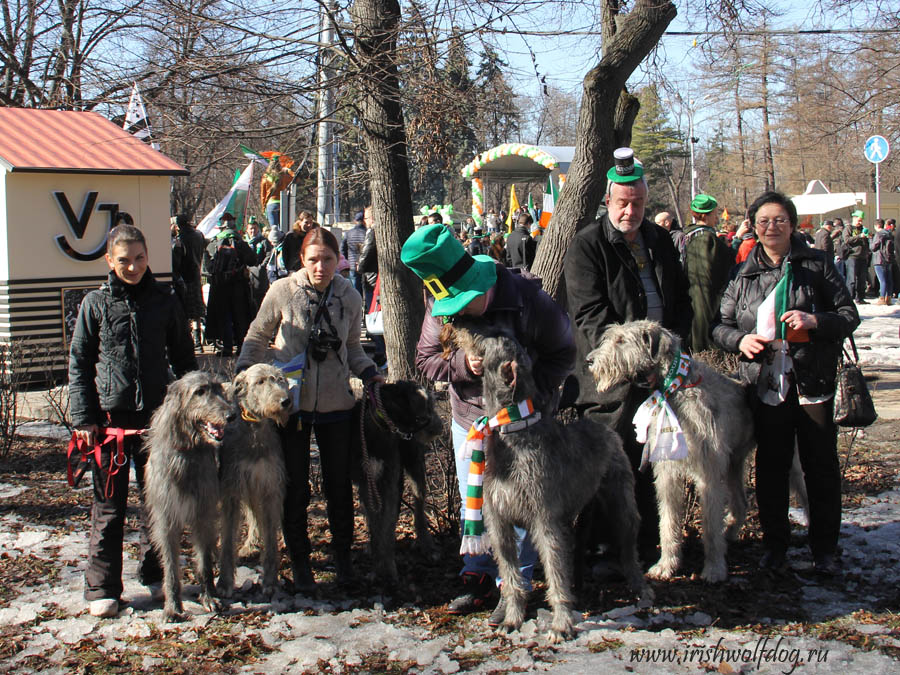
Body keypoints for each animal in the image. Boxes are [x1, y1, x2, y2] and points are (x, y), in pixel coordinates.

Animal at [143, 370, 232, 624]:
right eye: (199, 391)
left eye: (218, 389)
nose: (231, 415)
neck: (187, 453)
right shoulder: (166, 519)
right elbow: (171, 566)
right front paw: (173, 607)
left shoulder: (203, 513)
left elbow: (204, 561)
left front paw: (209, 596)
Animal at [217, 368, 290, 600]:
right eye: (260, 382)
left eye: (281, 380)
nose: (285, 401)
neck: (255, 428)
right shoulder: (232, 486)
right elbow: (228, 539)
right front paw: (224, 583)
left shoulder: (270, 485)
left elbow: (270, 535)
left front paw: (270, 581)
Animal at [356, 380, 446, 588]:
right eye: (427, 409)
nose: (440, 427)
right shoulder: (367, 482)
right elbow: (376, 526)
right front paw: (377, 567)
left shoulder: (389, 480)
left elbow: (387, 528)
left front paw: (388, 569)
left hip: (414, 461)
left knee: (419, 504)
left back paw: (427, 545)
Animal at [458, 330, 648, 648]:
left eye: (498, 335)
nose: (468, 329)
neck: (514, 431)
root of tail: (602, 426)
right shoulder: (499, 523)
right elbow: (511, 575)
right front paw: (512, 619)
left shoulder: (546, 521)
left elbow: (555, 574)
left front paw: (561, 625)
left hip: (620, 503)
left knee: (629, 547)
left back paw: (640, 587)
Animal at [588, 320, 756, 584]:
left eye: (621, 340)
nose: (589, 360)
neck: (676, 388)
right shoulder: (667, 469)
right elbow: (667, 518)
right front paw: (666, 564)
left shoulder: (708, 472)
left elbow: (710, 523)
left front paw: (714, 568)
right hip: (733, 463)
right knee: (740, 502)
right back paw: (730, 533)